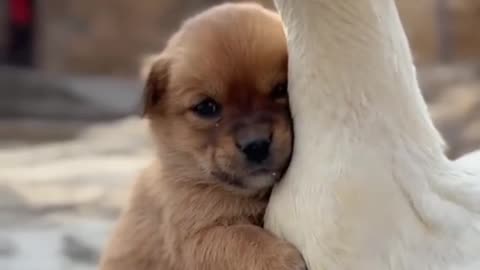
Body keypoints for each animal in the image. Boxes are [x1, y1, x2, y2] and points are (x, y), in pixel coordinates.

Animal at [99, 2, 306, 270]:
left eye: (281, 89)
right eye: (206, 107)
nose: (256, 145)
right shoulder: (195, 236)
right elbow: (239, 237)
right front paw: (278, 258)